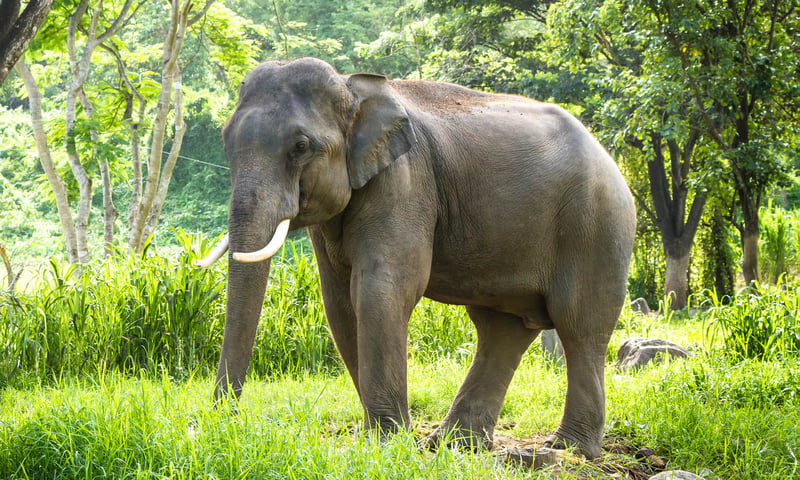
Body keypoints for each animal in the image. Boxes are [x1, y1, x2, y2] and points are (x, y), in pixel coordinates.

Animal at [197, 57, 636, 459]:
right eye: (224, 139)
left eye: (301, 146)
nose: (227, 424)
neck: (352, 87)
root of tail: (607, 155)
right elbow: (339, 303)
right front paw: (389, 439)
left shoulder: (405, 182)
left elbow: (381, 289)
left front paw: (388, 443)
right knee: (502, 329)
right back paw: (455, 444)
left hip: (596, 226)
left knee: (579, 325)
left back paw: (569, 450)